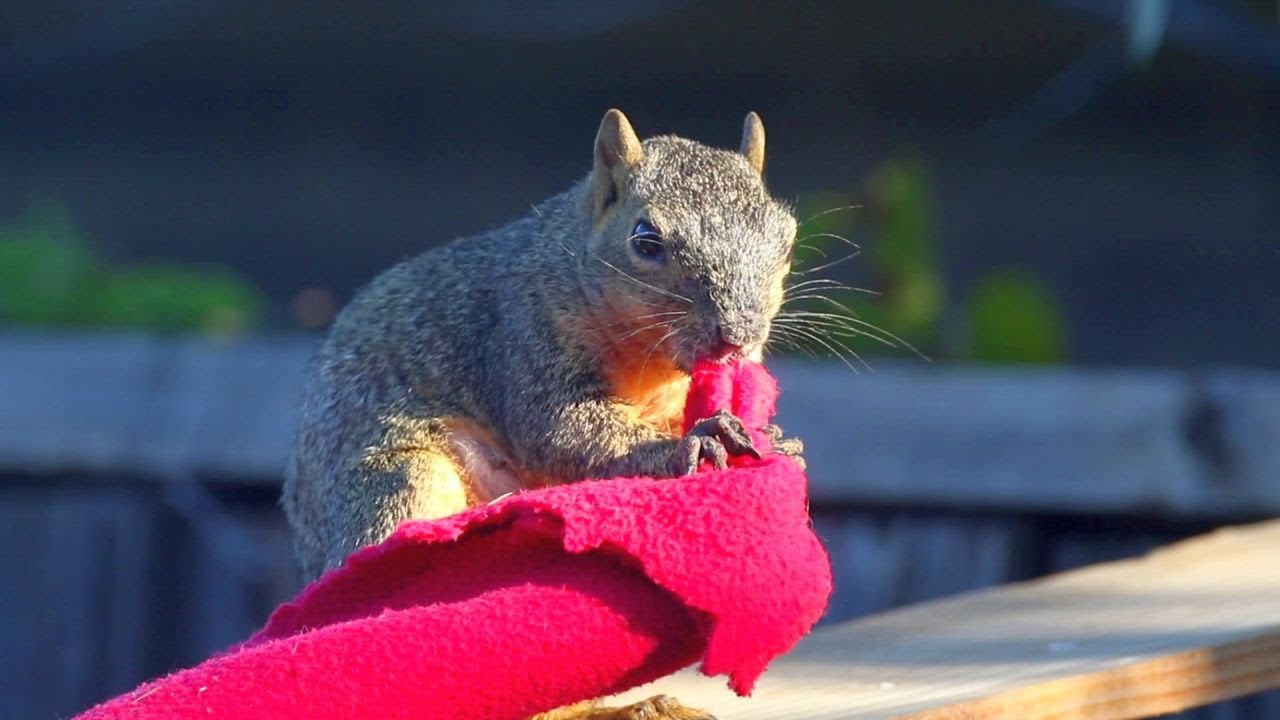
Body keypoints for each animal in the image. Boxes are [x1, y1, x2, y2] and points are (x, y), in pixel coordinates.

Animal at [282, 109, 802, 720]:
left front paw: (772, 436)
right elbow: (560, 428)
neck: (650, 365)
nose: (738, 335)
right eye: (645, 240)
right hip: (400, 486)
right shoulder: (526, 335)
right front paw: (697, 438)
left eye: (787, 241)